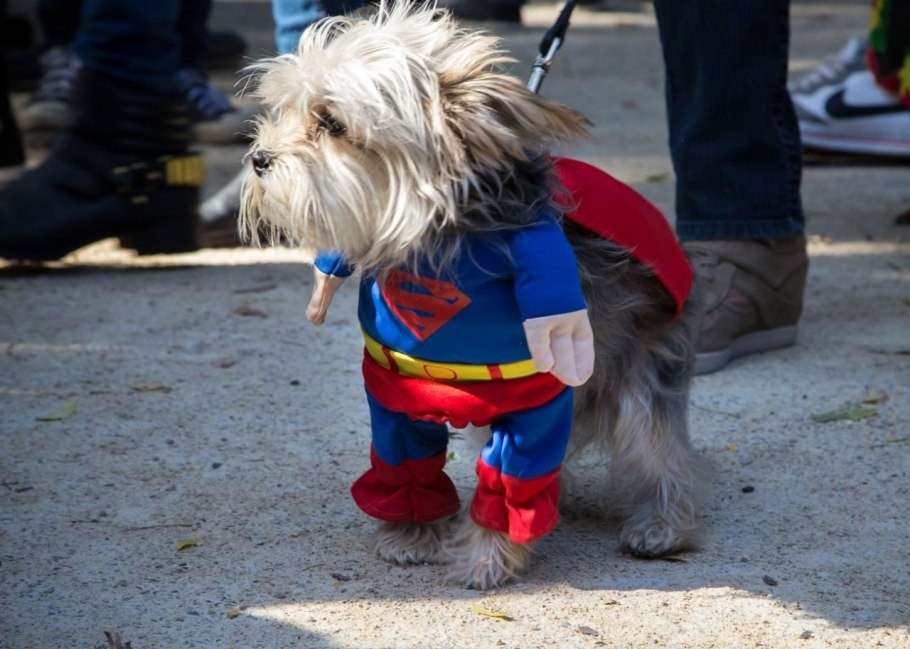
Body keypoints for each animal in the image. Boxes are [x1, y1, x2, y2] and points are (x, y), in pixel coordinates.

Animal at [240, 1, 704, 588]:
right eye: (286, 110)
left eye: (332, 123)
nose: (259, 158)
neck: (438, 243)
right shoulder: (397, 389)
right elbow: (405, 466)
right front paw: (411, 536)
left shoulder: (534, 396)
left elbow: (510, 481)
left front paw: (488, 557)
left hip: (642, 368)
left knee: (661, 446)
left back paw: (664, 524)